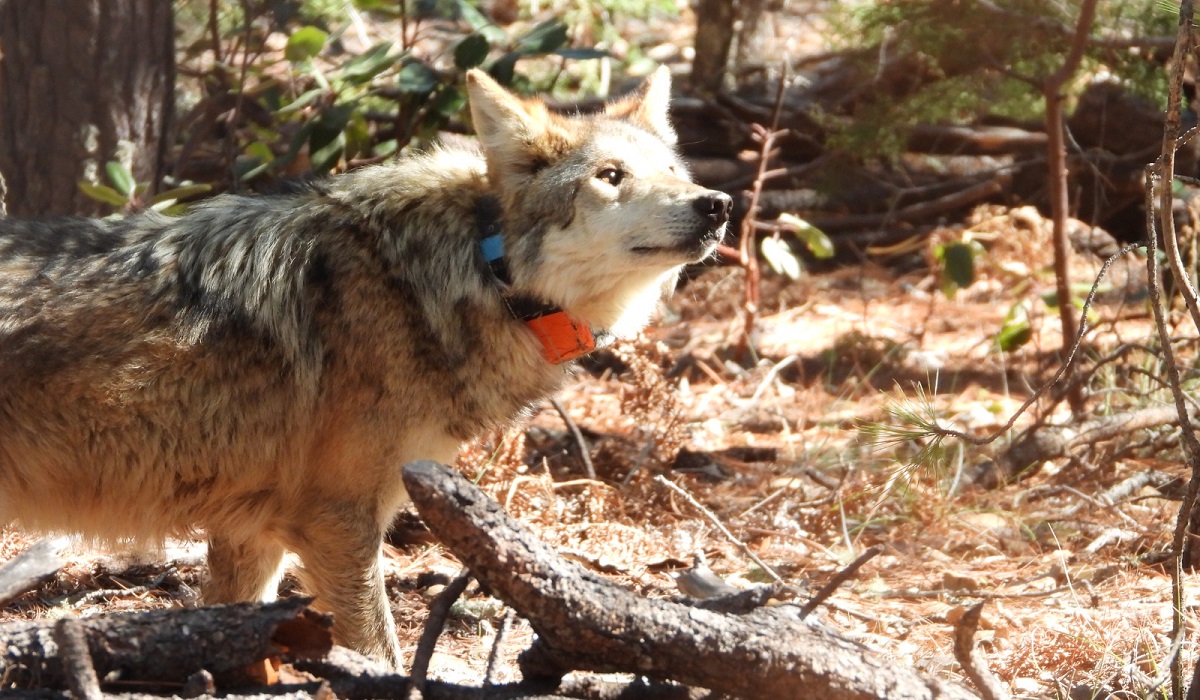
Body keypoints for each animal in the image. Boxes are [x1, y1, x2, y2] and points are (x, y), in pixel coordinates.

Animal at [0, 68, 731, 667]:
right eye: (610, 175)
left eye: (674, 169)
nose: (716, 202)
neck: (475, 266)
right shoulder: (335, 520)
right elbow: (381, 654)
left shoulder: (251, 531)